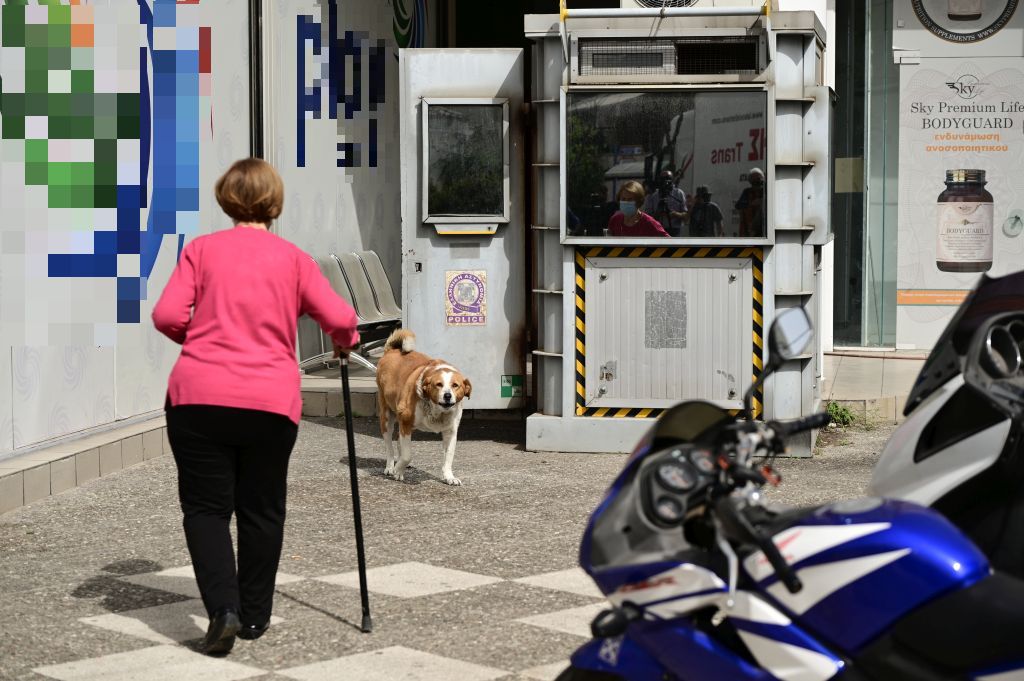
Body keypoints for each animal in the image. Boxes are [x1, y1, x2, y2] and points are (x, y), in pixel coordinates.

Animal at [376, 327, 471, 483]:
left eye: (455, 385)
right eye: (438, 384)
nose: (447, 395)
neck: (437, 411)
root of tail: (391, 351)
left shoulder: (451, 431)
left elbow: (449, 456)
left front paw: (449, 476)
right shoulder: (406, 422)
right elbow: (407, 455)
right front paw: (398, 471)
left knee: (398, 440)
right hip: (387, 417)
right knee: (389, 444)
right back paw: (390, 466)